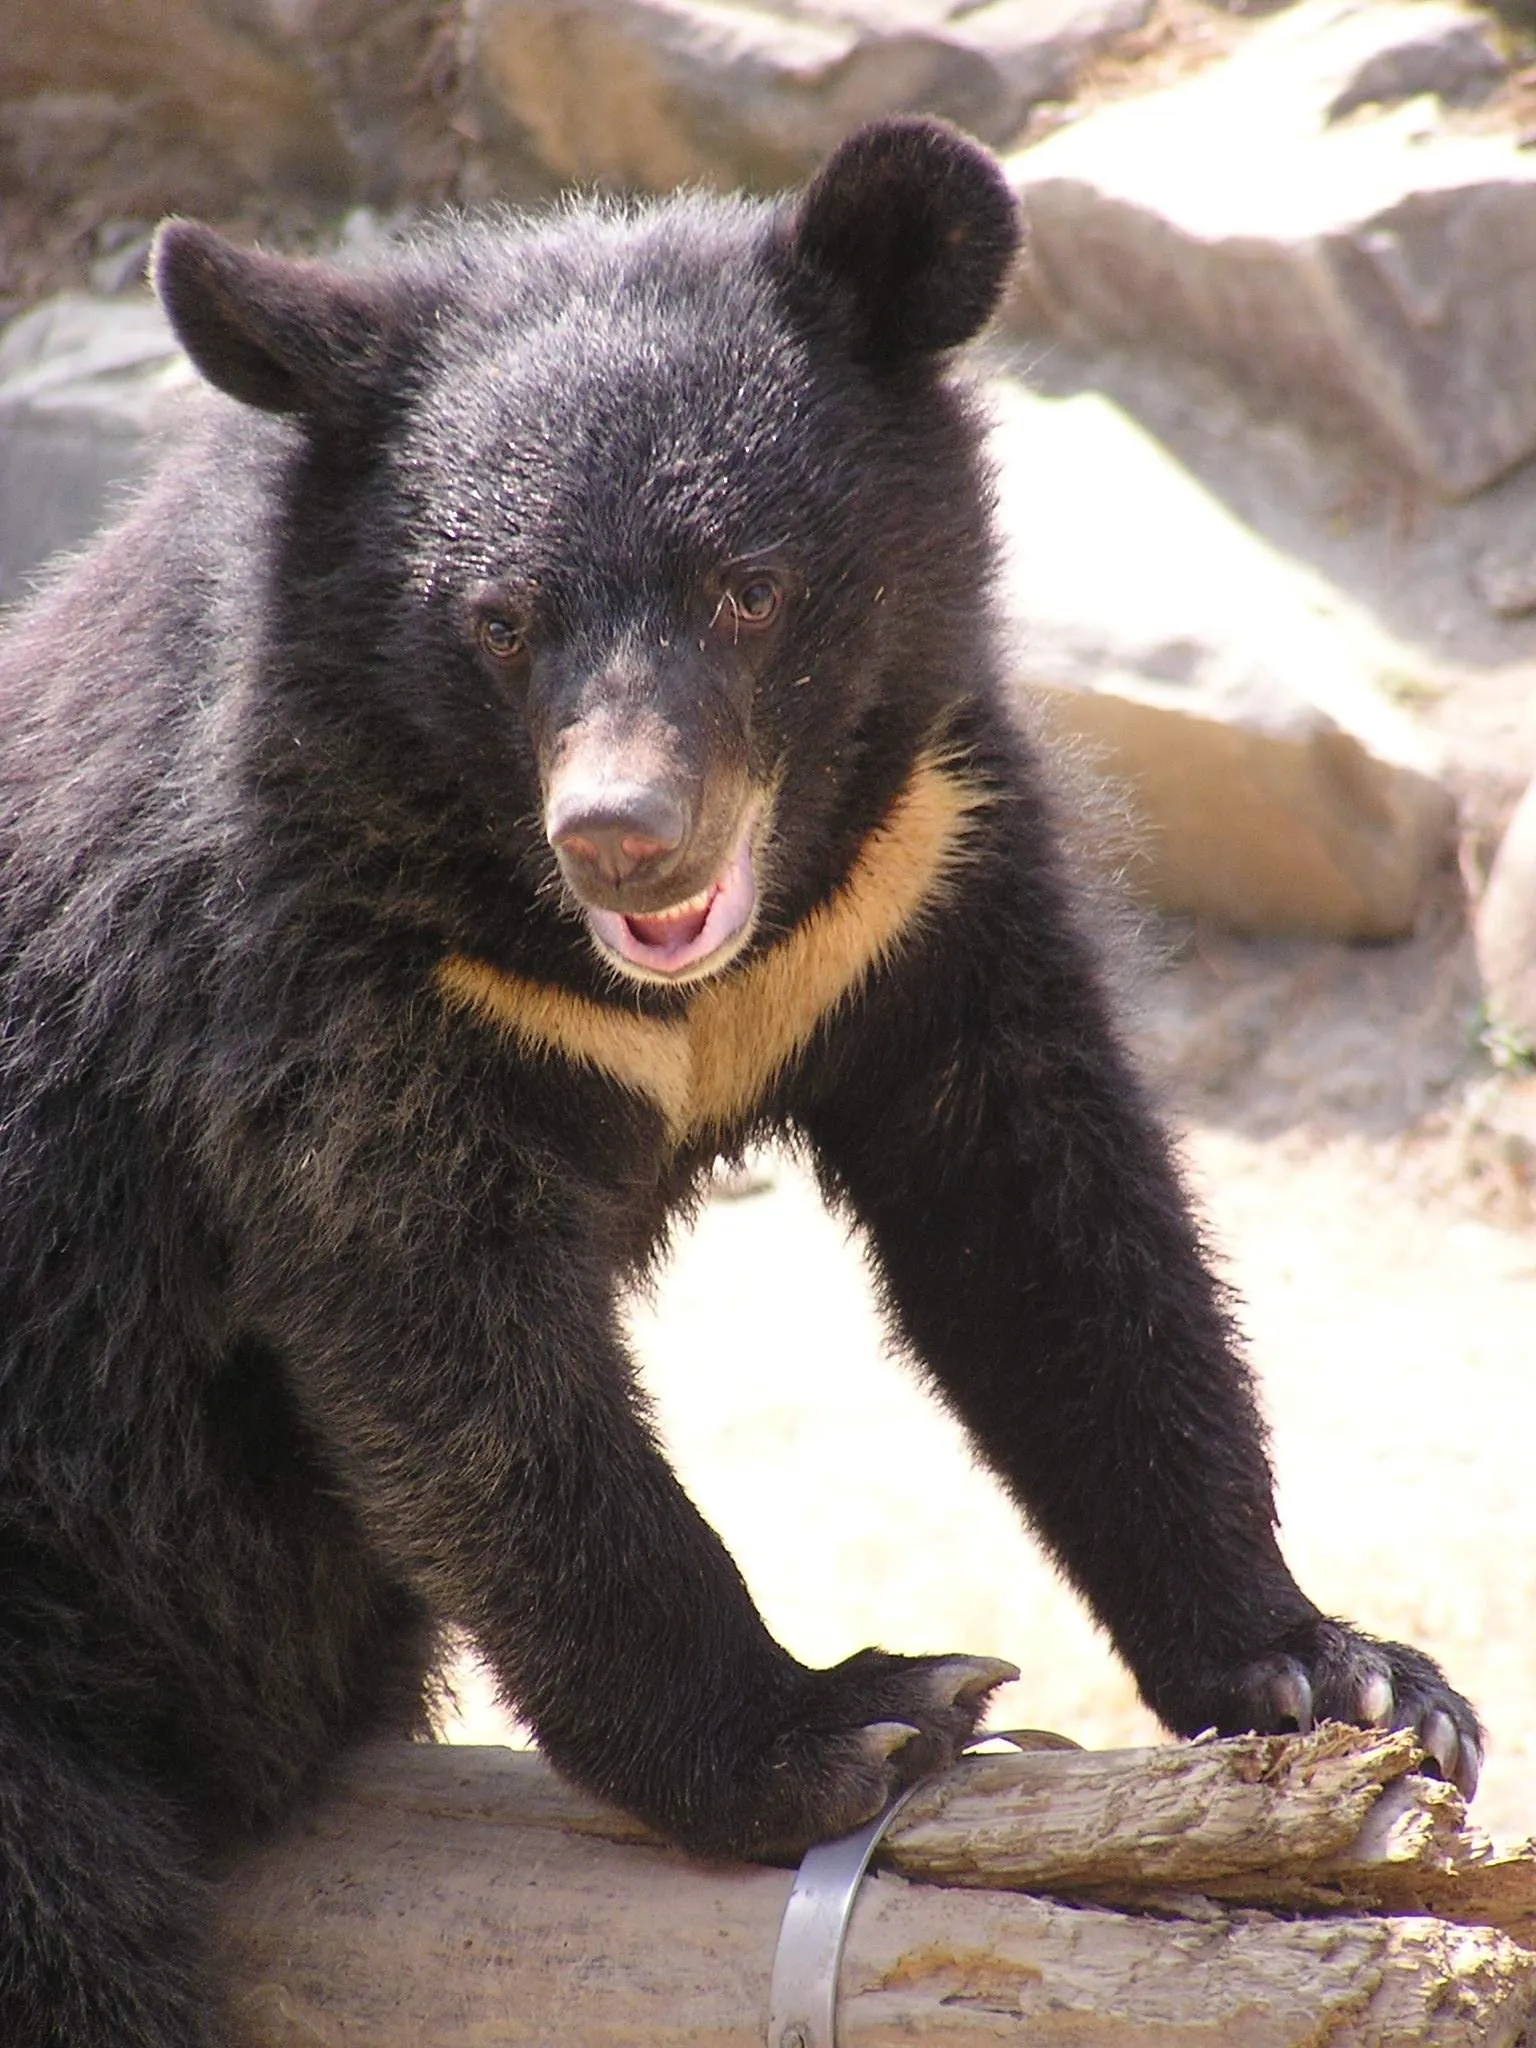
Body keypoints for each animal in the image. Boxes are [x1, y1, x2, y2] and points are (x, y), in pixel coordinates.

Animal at [0, 119, 1482, 2039]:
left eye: (748, 586)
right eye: (499, 620)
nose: (625, 836)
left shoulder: (916, 872)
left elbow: (1053, 1224)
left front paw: (1337, 1673)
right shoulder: (305, 964)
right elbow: (451, 1349)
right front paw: (845, 1720)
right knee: (78, 1920)